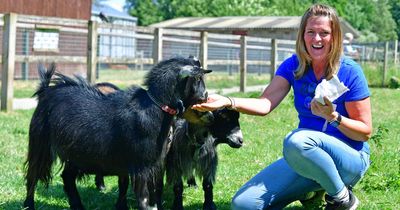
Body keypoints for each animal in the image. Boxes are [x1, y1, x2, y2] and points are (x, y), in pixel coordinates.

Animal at [23, 56, 212, 210]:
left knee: (67, 177)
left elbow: (150, 191)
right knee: (32, 175)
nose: (205, 96)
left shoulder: (154, 163)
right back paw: (28, 205)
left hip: (76, 152)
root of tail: (46, 90)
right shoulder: (140, 165)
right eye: (197, 79)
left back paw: (78, 206)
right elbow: (144, 197)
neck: (155, 106)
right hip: (40, 143)